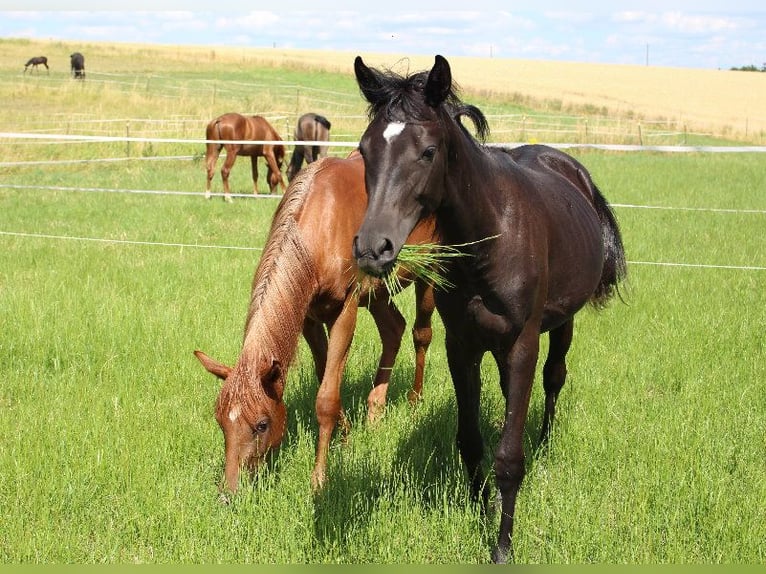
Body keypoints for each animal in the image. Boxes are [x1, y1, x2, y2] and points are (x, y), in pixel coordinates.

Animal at [195, 153, 440, 496]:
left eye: (261, 424)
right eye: (221, 422)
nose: (229, 493)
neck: (322, 223)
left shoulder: (345, 310)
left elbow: (325, 398)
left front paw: (320, 479)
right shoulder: (309, 318)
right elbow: (326, 376)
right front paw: (346, 437)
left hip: (429, 270)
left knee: (421, 333)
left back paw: (415, 401)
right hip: (377, 294)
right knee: (394, 330)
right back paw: (374, 413)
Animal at [352, 55, 628, 568]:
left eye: (428, 151)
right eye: (365, 150)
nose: (372, 249)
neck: (491, 235)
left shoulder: (522, 344)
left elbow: (510, 458)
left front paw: (501, 545)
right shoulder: (461, 346)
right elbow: (471, 441)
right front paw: (480, 507)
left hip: (561, 325)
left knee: (554, 378)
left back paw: (544, 441)